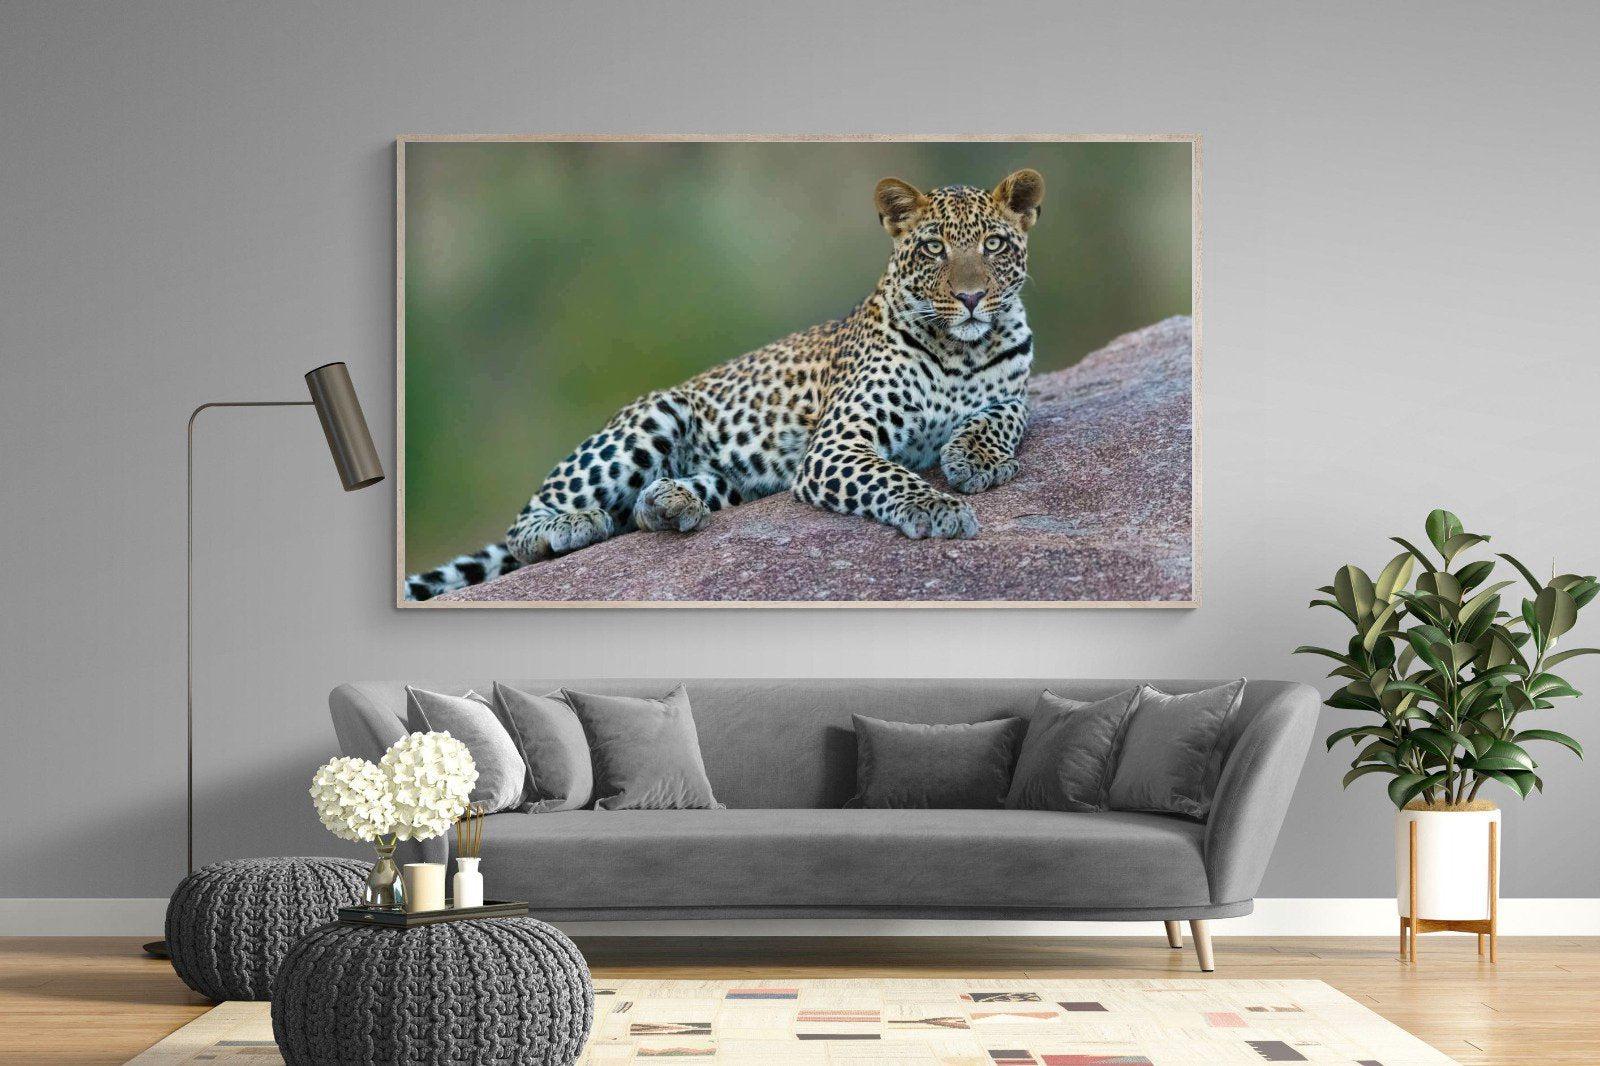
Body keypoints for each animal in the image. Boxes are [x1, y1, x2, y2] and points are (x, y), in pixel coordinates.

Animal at [405, 168, 1044, 601]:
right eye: (934, 247)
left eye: (993, 244)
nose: (971, 297)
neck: (962, 348)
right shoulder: (838, 444)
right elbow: (892, 476)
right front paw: (939, 506)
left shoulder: (1013, 391)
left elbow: (1004, 416)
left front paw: (974, 458)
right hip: (650, 419)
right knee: (526, 523)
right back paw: (572, 524)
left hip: (733, 481)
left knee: (649, 508)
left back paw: (669, 503)